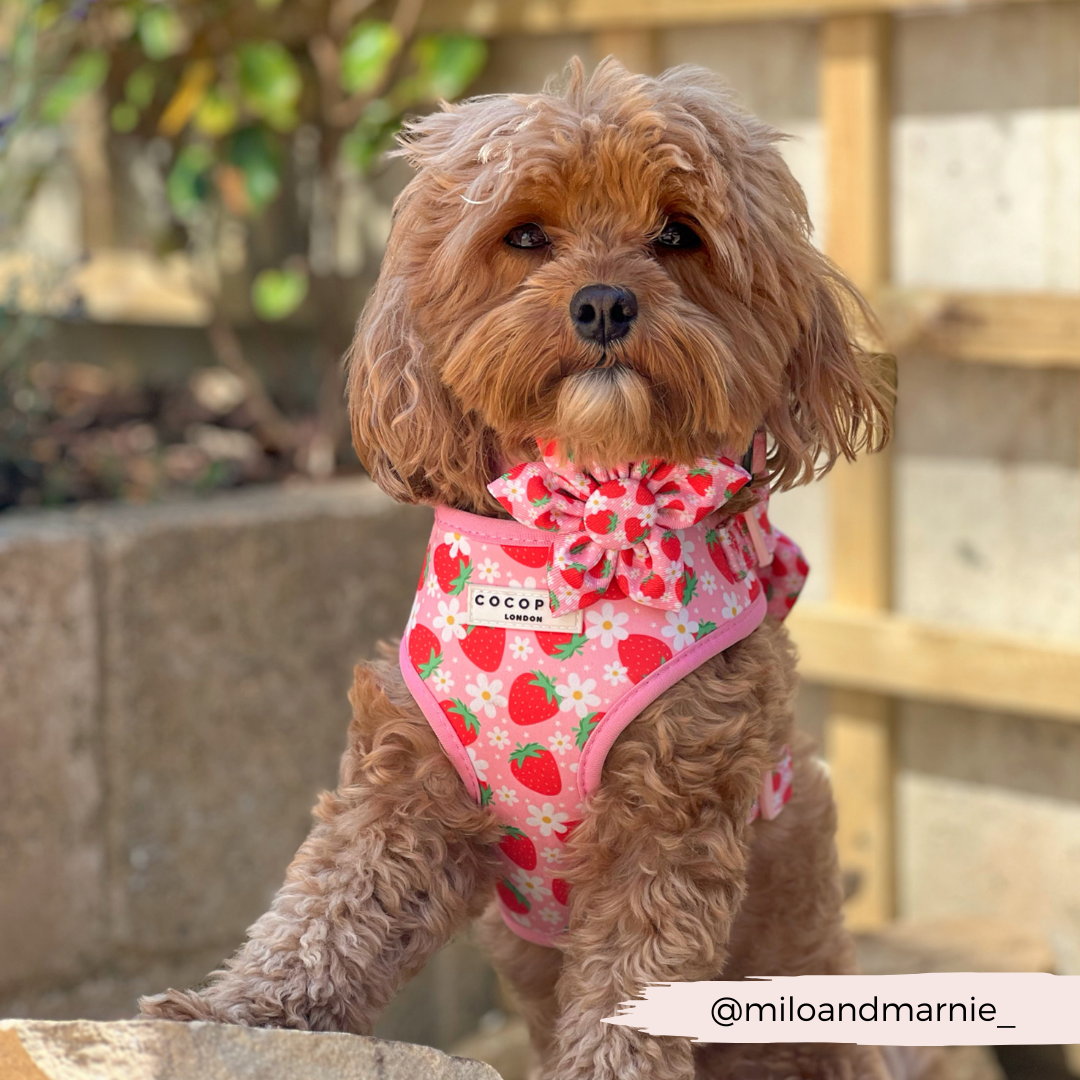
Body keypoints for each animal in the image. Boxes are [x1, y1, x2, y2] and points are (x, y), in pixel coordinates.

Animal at [143, 61, 894, 1080]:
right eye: (527, 235)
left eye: (677, 234)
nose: (604, 302)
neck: (583, 513)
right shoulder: (408, 782)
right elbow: (326, 910)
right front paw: (231, 1015)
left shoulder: (672, 814)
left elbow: (630, 984)